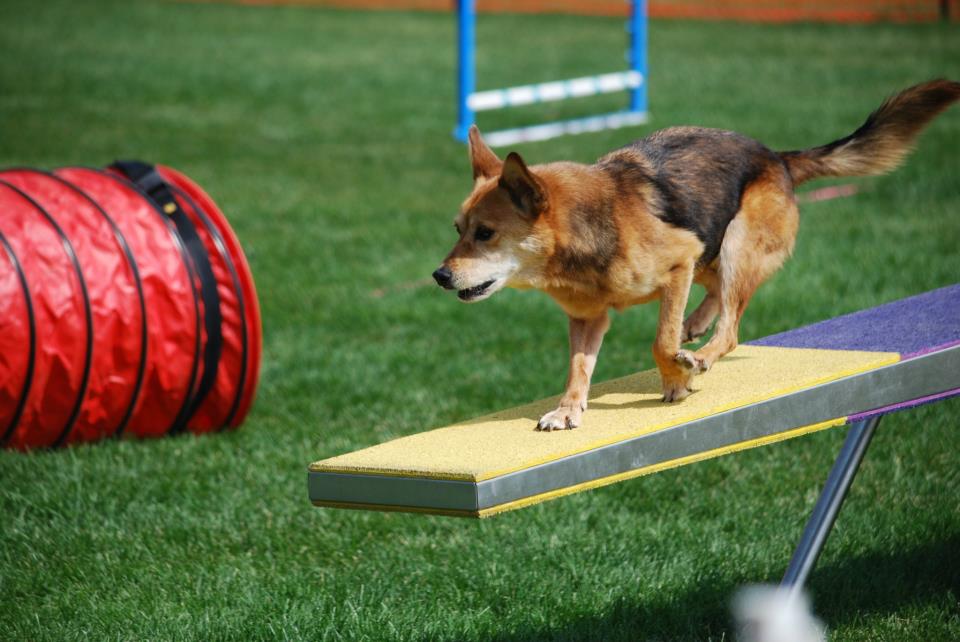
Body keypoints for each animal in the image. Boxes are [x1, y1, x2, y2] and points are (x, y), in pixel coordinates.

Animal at [434, 80, 960, 430]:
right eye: (459, 230)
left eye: (485, 233)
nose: (439, 275)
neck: (578, 245)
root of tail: (778, 157)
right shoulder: (587, 318)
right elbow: (578, 367)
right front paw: (568, 409)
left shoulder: (678, 262)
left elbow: (660, 340)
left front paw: (677, 378)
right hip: (715, 244)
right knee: (719, 297)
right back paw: (698, 323)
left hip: (735, 241)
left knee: (731, 325)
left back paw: (701, 353)